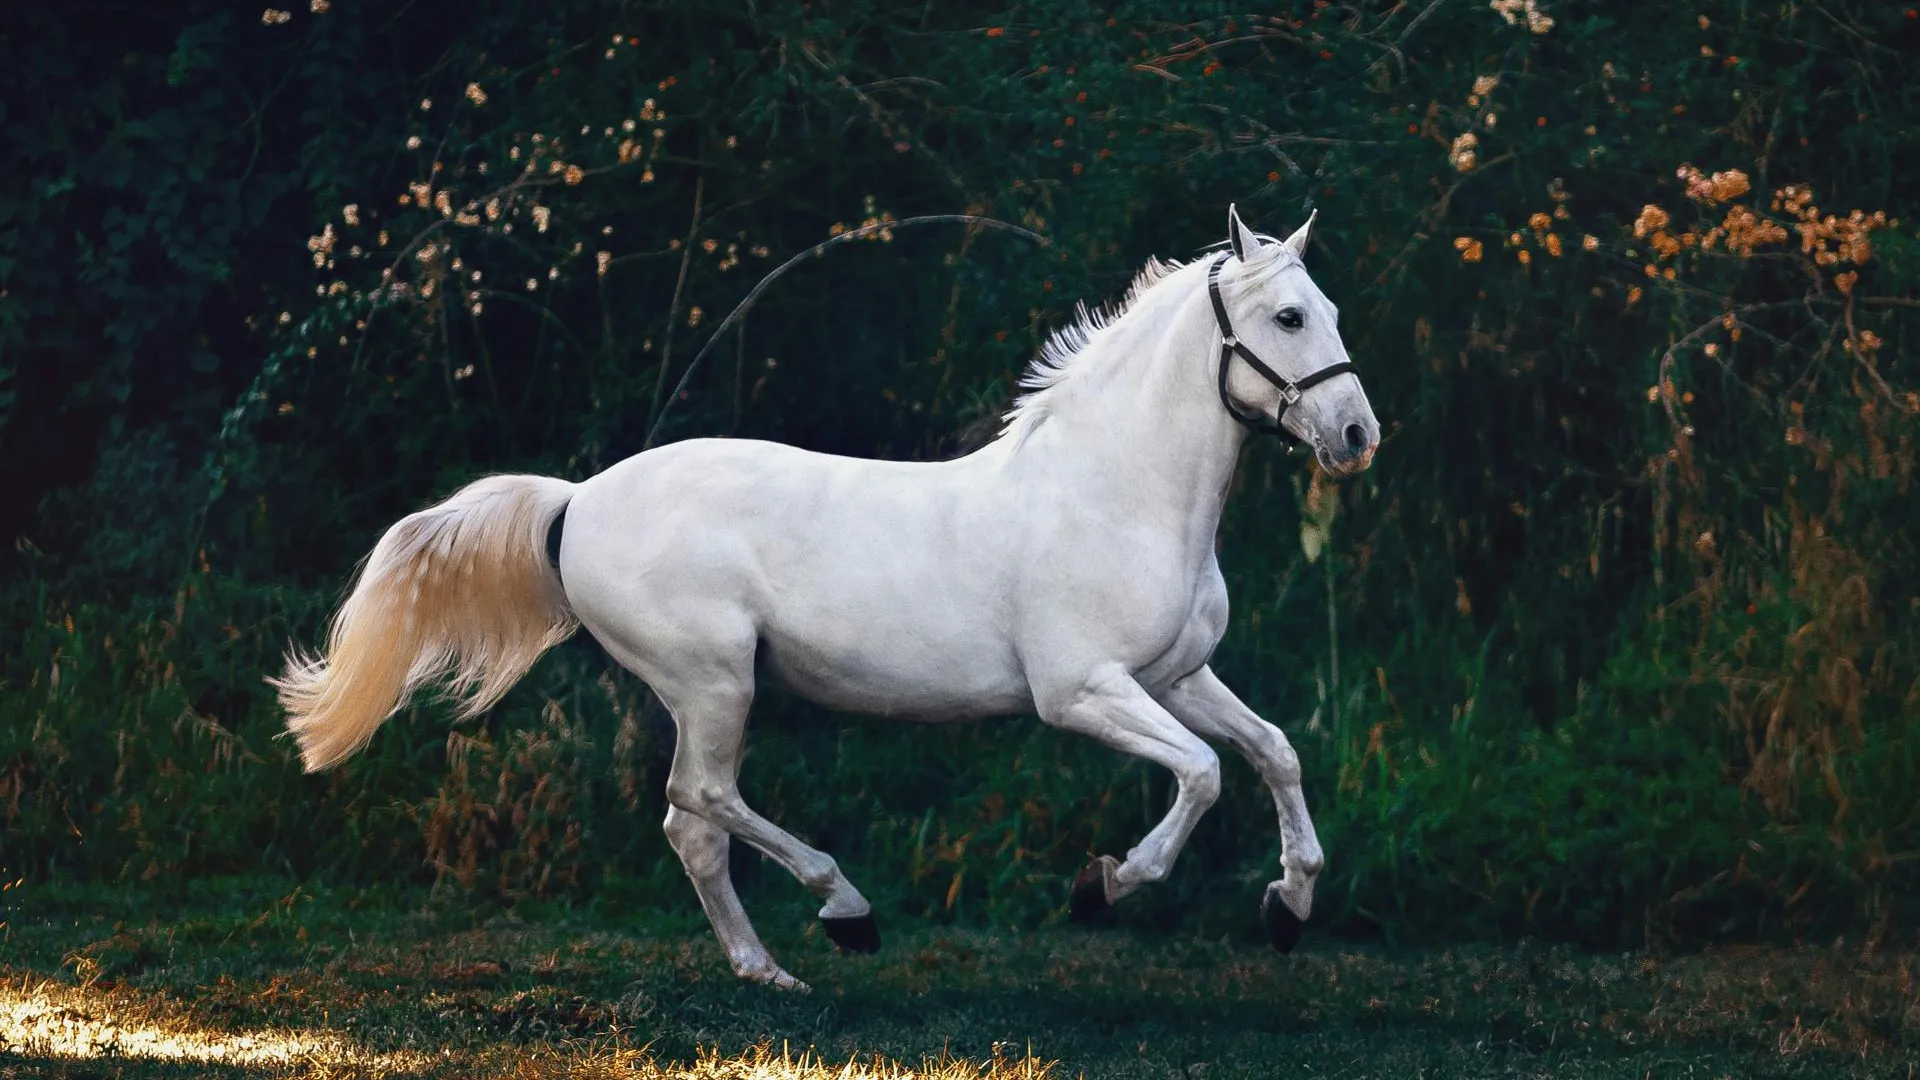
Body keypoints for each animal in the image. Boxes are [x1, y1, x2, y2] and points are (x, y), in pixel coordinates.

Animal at [274, 201, 1382, 983]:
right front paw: (1103, 887)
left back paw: (769, 971)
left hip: (711, 690)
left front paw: (1289, 907)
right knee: (702, 802)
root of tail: (577, 500)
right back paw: (843, 913)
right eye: (1289, 316)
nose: (1358, 435)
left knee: (692, 825)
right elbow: (1202, 773)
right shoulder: (1082, 692)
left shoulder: (1176, 675)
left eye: (1331, 312)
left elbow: (1273, 752)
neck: (1116, 493)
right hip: (714, 681)